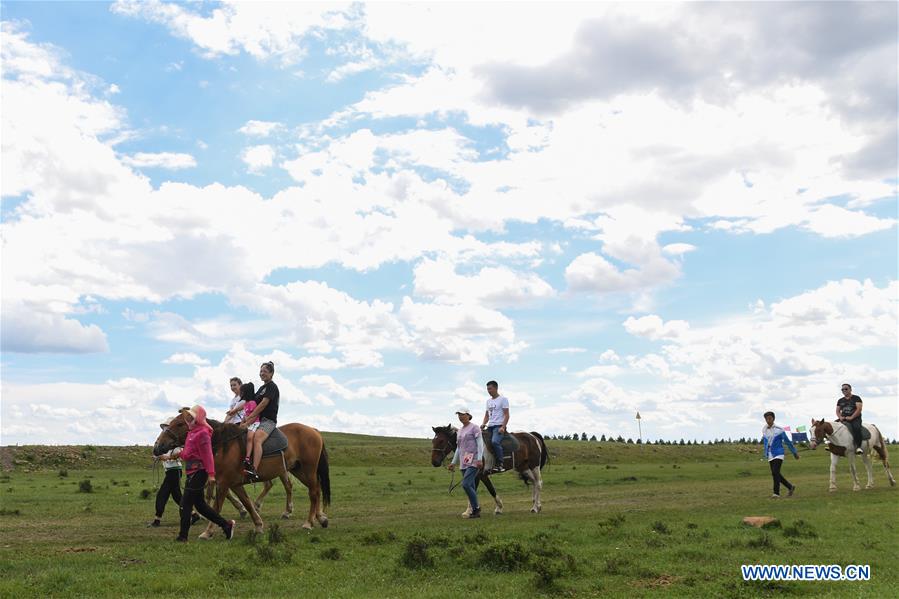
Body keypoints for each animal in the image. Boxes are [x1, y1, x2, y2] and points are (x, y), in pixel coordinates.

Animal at [153, 412, 332, 536]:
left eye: (179, 424)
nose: (157, 446)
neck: (222, 444)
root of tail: (314, 430)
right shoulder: (235, 484)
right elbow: (246, 503)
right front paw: (258, 525)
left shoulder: (223, 483)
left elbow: (216, 507)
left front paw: (208, 532)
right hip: (298, 470)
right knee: (315, 490)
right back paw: (320, 518)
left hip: (307, 470)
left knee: (312, 492)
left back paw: (308, 522)